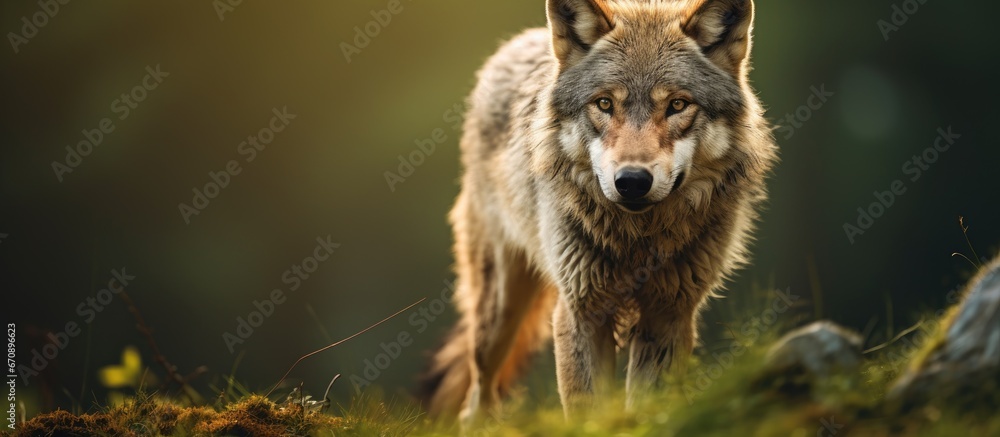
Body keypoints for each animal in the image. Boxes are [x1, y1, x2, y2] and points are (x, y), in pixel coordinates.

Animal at [421, 0, 778, 425]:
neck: (638, 240)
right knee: (478, 394)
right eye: (605, 104)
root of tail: (517, 42)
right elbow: (586, 409)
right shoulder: (581, 311)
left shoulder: (669, 314)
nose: (633, 181)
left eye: (677, 105)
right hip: (500, 310)